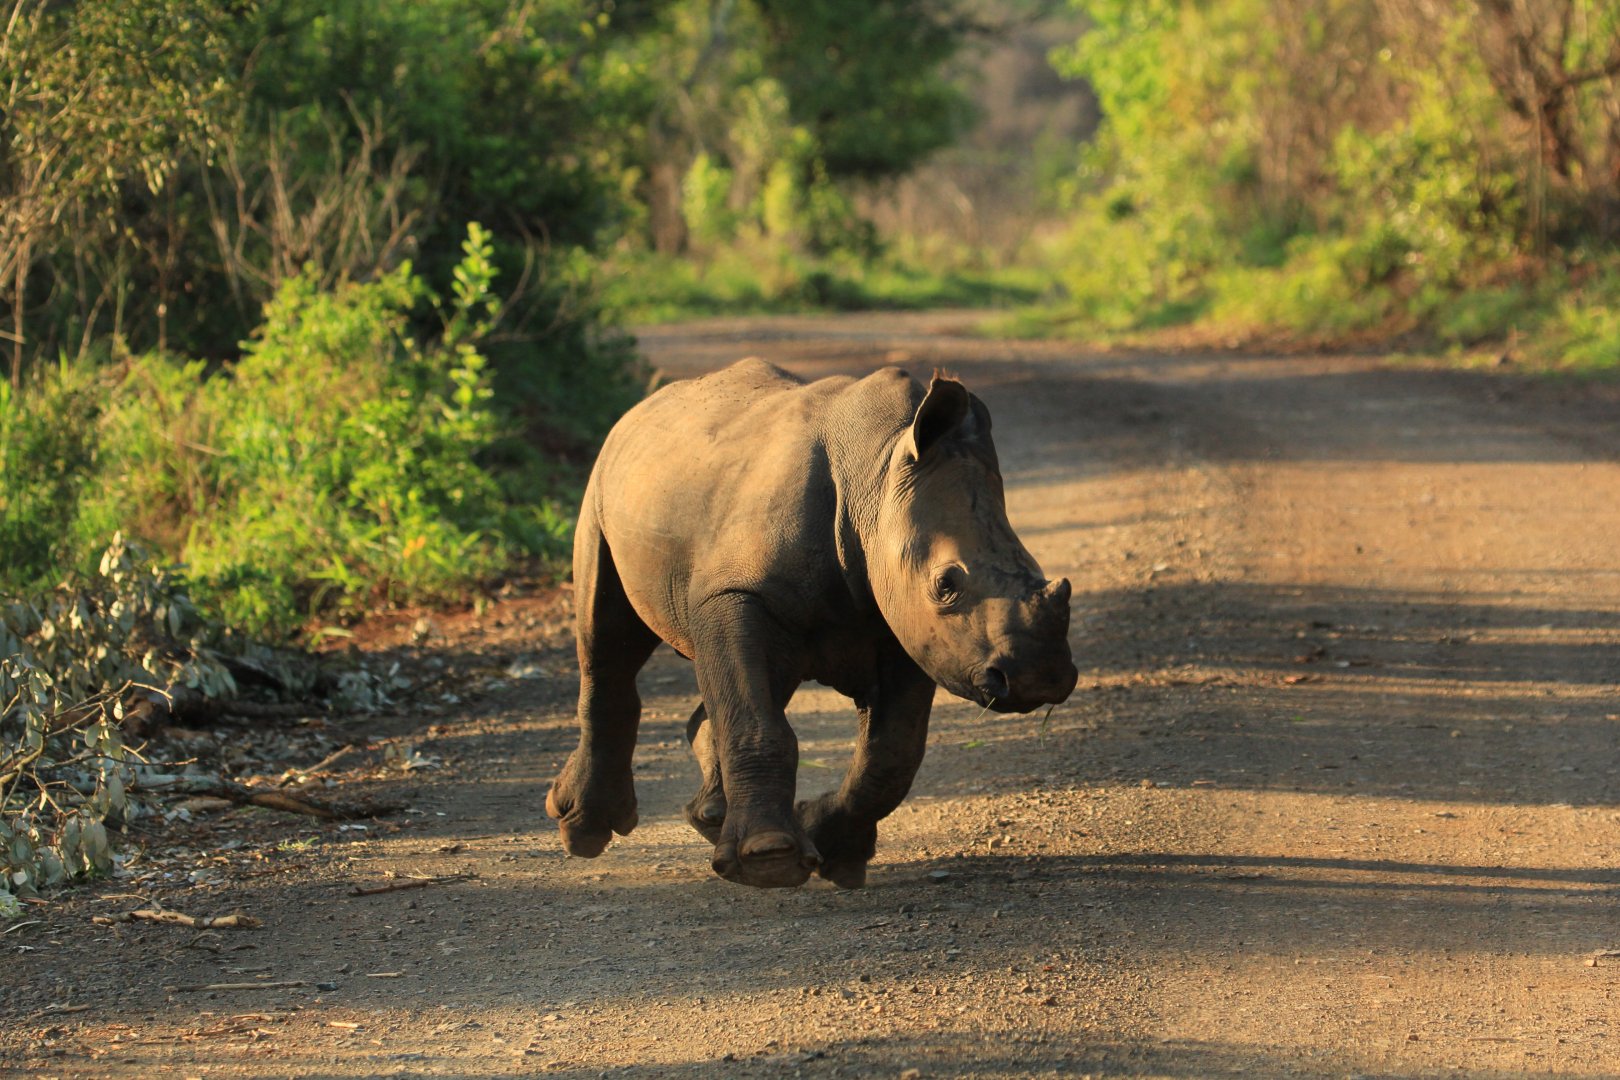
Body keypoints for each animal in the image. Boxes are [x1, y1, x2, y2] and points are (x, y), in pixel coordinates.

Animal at [546, 358, 1077, 889]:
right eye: (945, 585)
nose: (1039, 677)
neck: (878, 479)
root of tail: (640, 408)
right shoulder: (736, 593)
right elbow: (758, 723)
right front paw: (771, 860)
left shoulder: (904, 626)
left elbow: (891, 754)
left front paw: (833, 852)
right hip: (604, 487)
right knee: (607, 641)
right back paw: (584, 832)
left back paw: (710, 818)